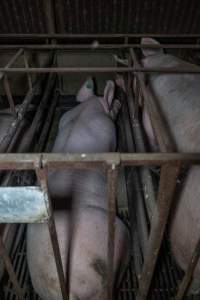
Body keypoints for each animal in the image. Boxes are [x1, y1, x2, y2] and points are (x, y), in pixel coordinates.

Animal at [26, 78, 130, 300]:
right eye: (113, 103)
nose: (119, 101)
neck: (85, 111)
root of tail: (68, 290)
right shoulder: (111, 133)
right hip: (117, 240)